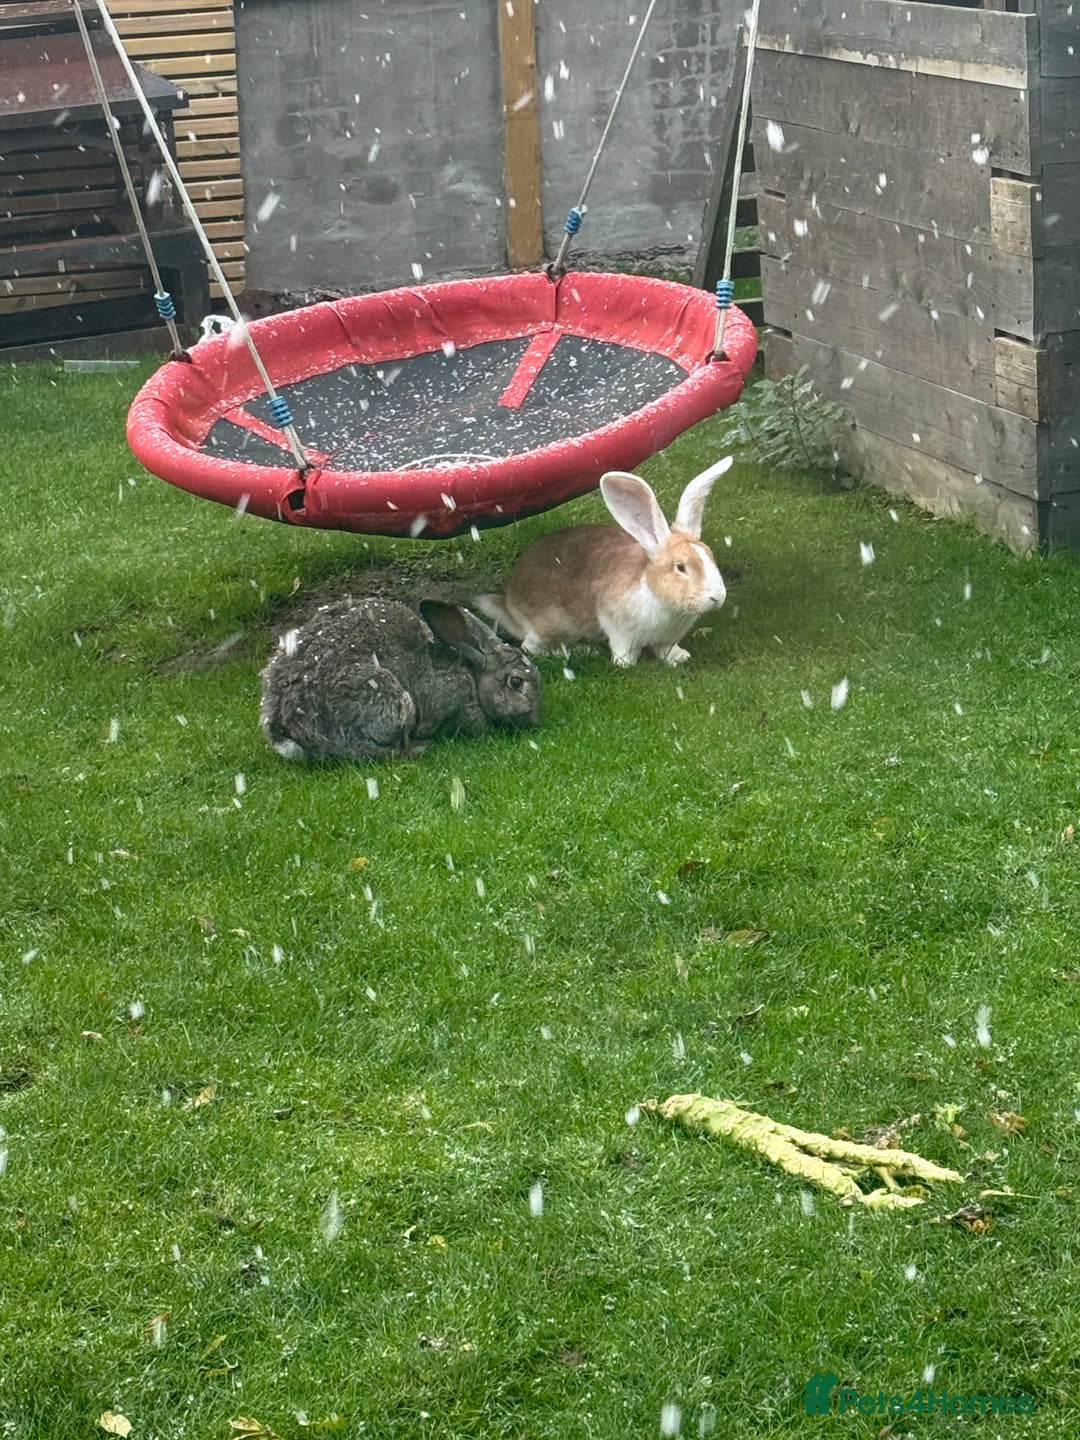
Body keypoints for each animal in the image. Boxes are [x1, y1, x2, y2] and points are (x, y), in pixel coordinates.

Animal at [260, 596, 542, 761]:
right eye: (516, 682)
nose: (535, 719)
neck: (472, 676)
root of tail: (286, 728)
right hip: (388, 700)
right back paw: (419, 748)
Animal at [475, 456, 732, 667]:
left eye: (710, 555)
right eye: (681, 567)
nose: (718, 598)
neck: (655, 595)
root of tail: (510, 604)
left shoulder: (666, 639)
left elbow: (666, 650)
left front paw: (680, 658)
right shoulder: (618, 627)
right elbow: (622, 649)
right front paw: (625, 663)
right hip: (550, 626)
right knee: (531, 647)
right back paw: (580, 651)